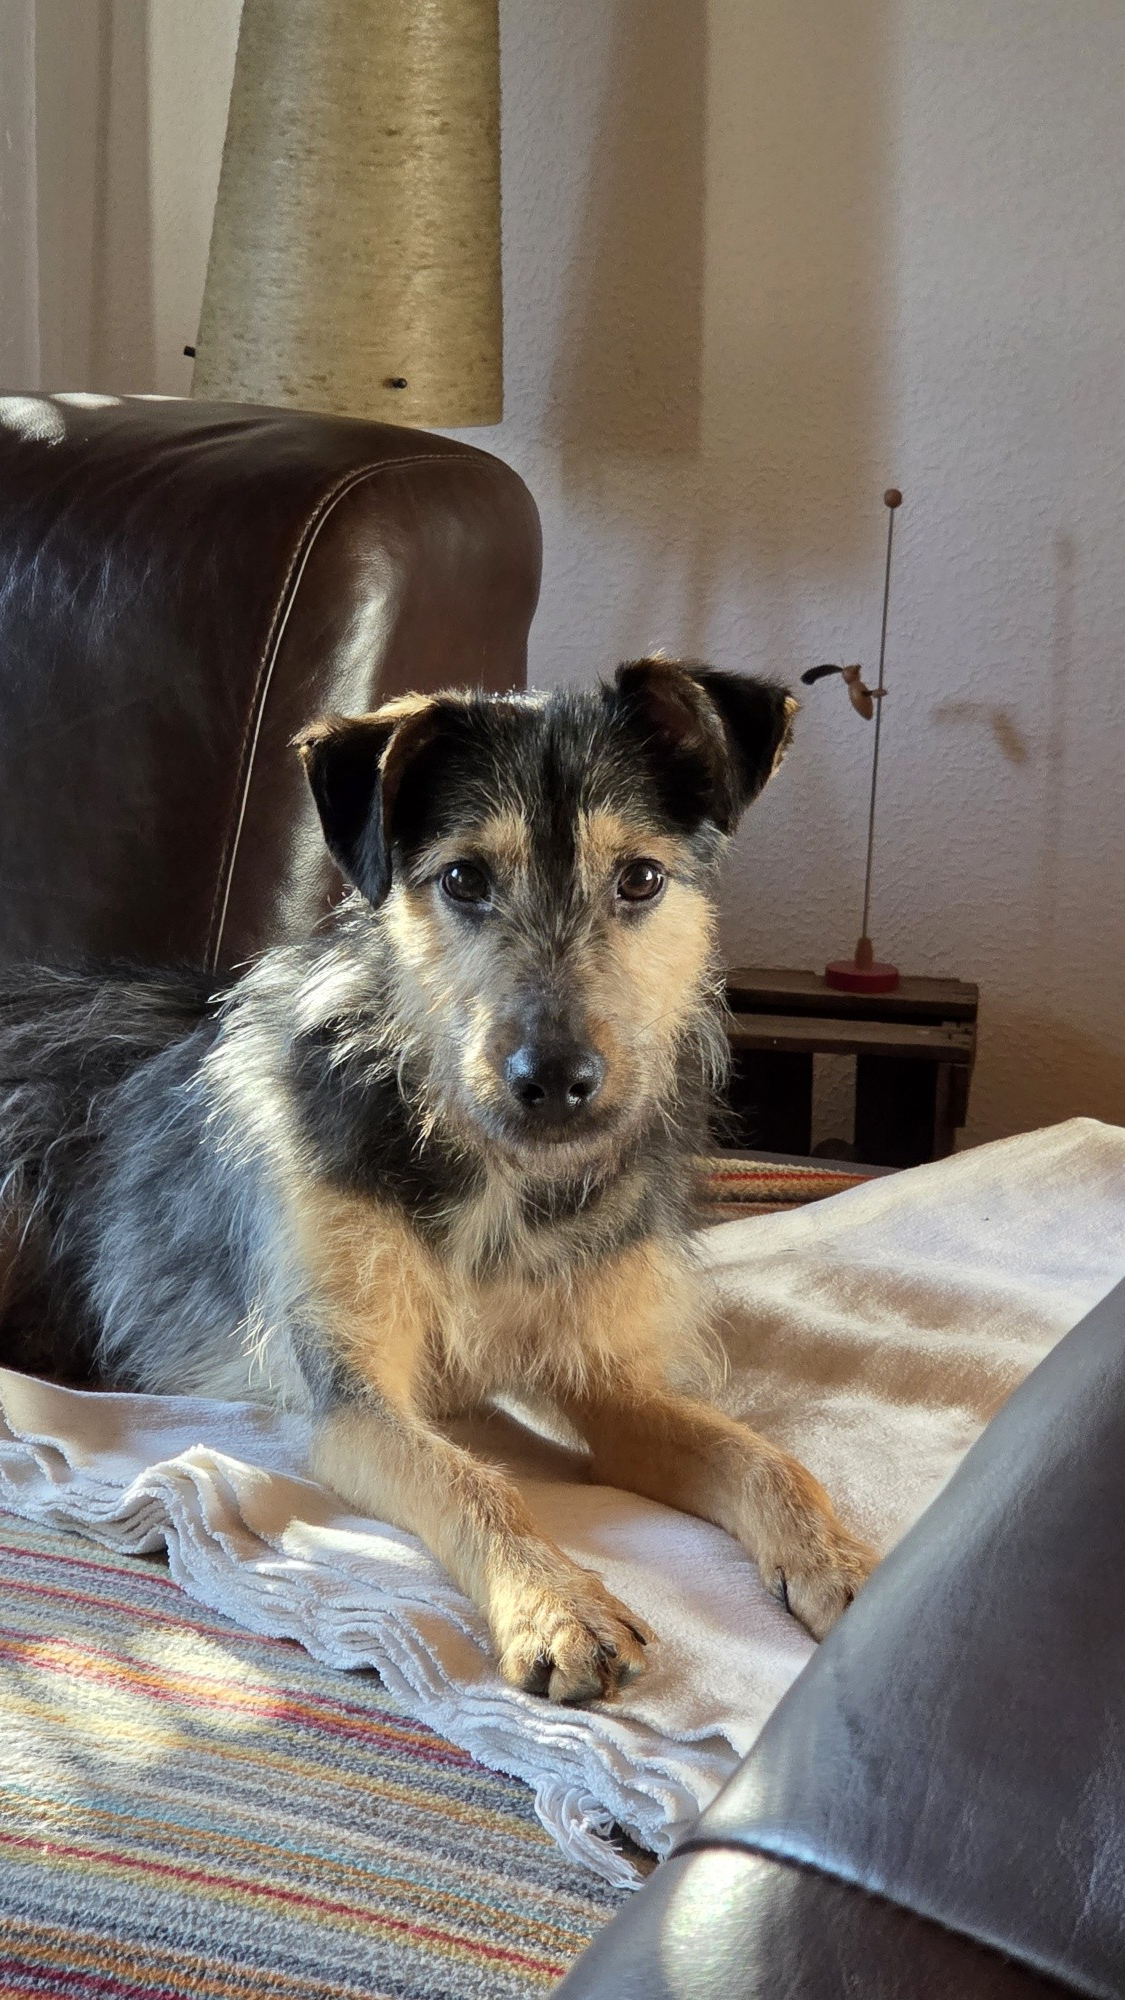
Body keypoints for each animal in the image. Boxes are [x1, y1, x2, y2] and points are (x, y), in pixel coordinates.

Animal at [0, 657, 874, 1702]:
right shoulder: (350, 1398)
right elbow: (473, 1479)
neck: (499, 1178)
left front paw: (838, 1560)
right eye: (463, 879)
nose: (554, 1081)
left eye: (641, 879)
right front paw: (556, 1605)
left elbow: (759, 1456)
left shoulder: (607, 1381)